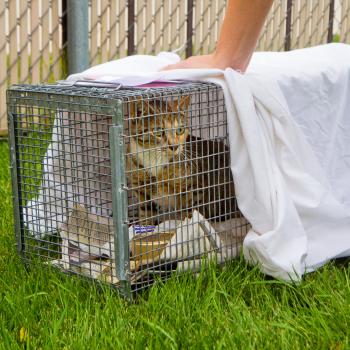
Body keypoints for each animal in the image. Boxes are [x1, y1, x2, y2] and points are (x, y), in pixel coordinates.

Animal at [126, 95, 238, 226]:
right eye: (158, 131)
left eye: (180, 130)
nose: (174, 146)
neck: (154, 159)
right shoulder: (141, 189)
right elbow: (146, 214)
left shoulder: (193, 188)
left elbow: (189, 214)